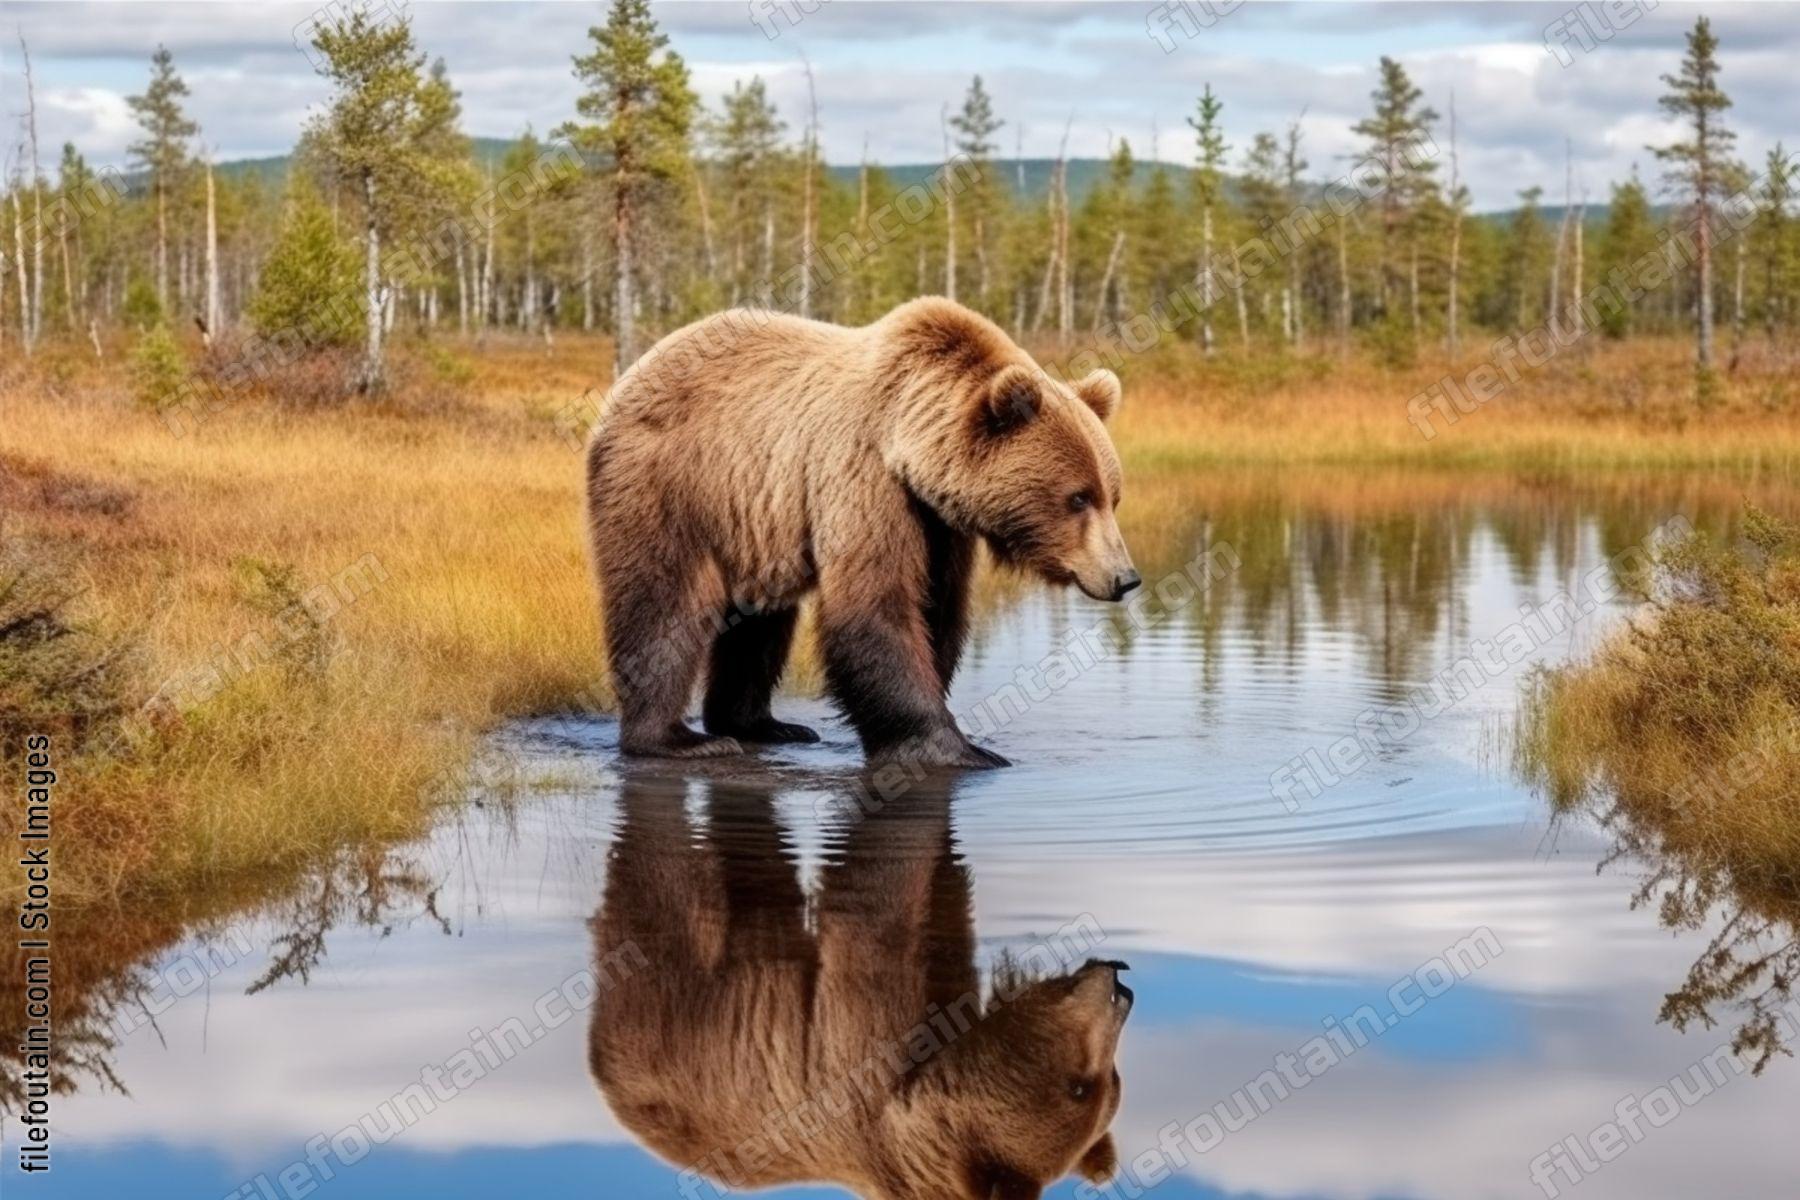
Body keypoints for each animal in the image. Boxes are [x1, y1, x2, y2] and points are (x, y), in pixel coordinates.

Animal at [585, 296, 1137, 767]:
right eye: (1078, 498)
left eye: (1112, 495)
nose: (1125, 578)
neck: (913, 446)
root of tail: (636, 373)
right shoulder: (865, 479)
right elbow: (875, 606)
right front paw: (960, 749)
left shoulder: (937, 524)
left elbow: (936, 610)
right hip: (670, 483)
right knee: (664, 604)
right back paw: (677, 739)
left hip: (756, 520)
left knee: (761, 622)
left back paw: (763, 725)